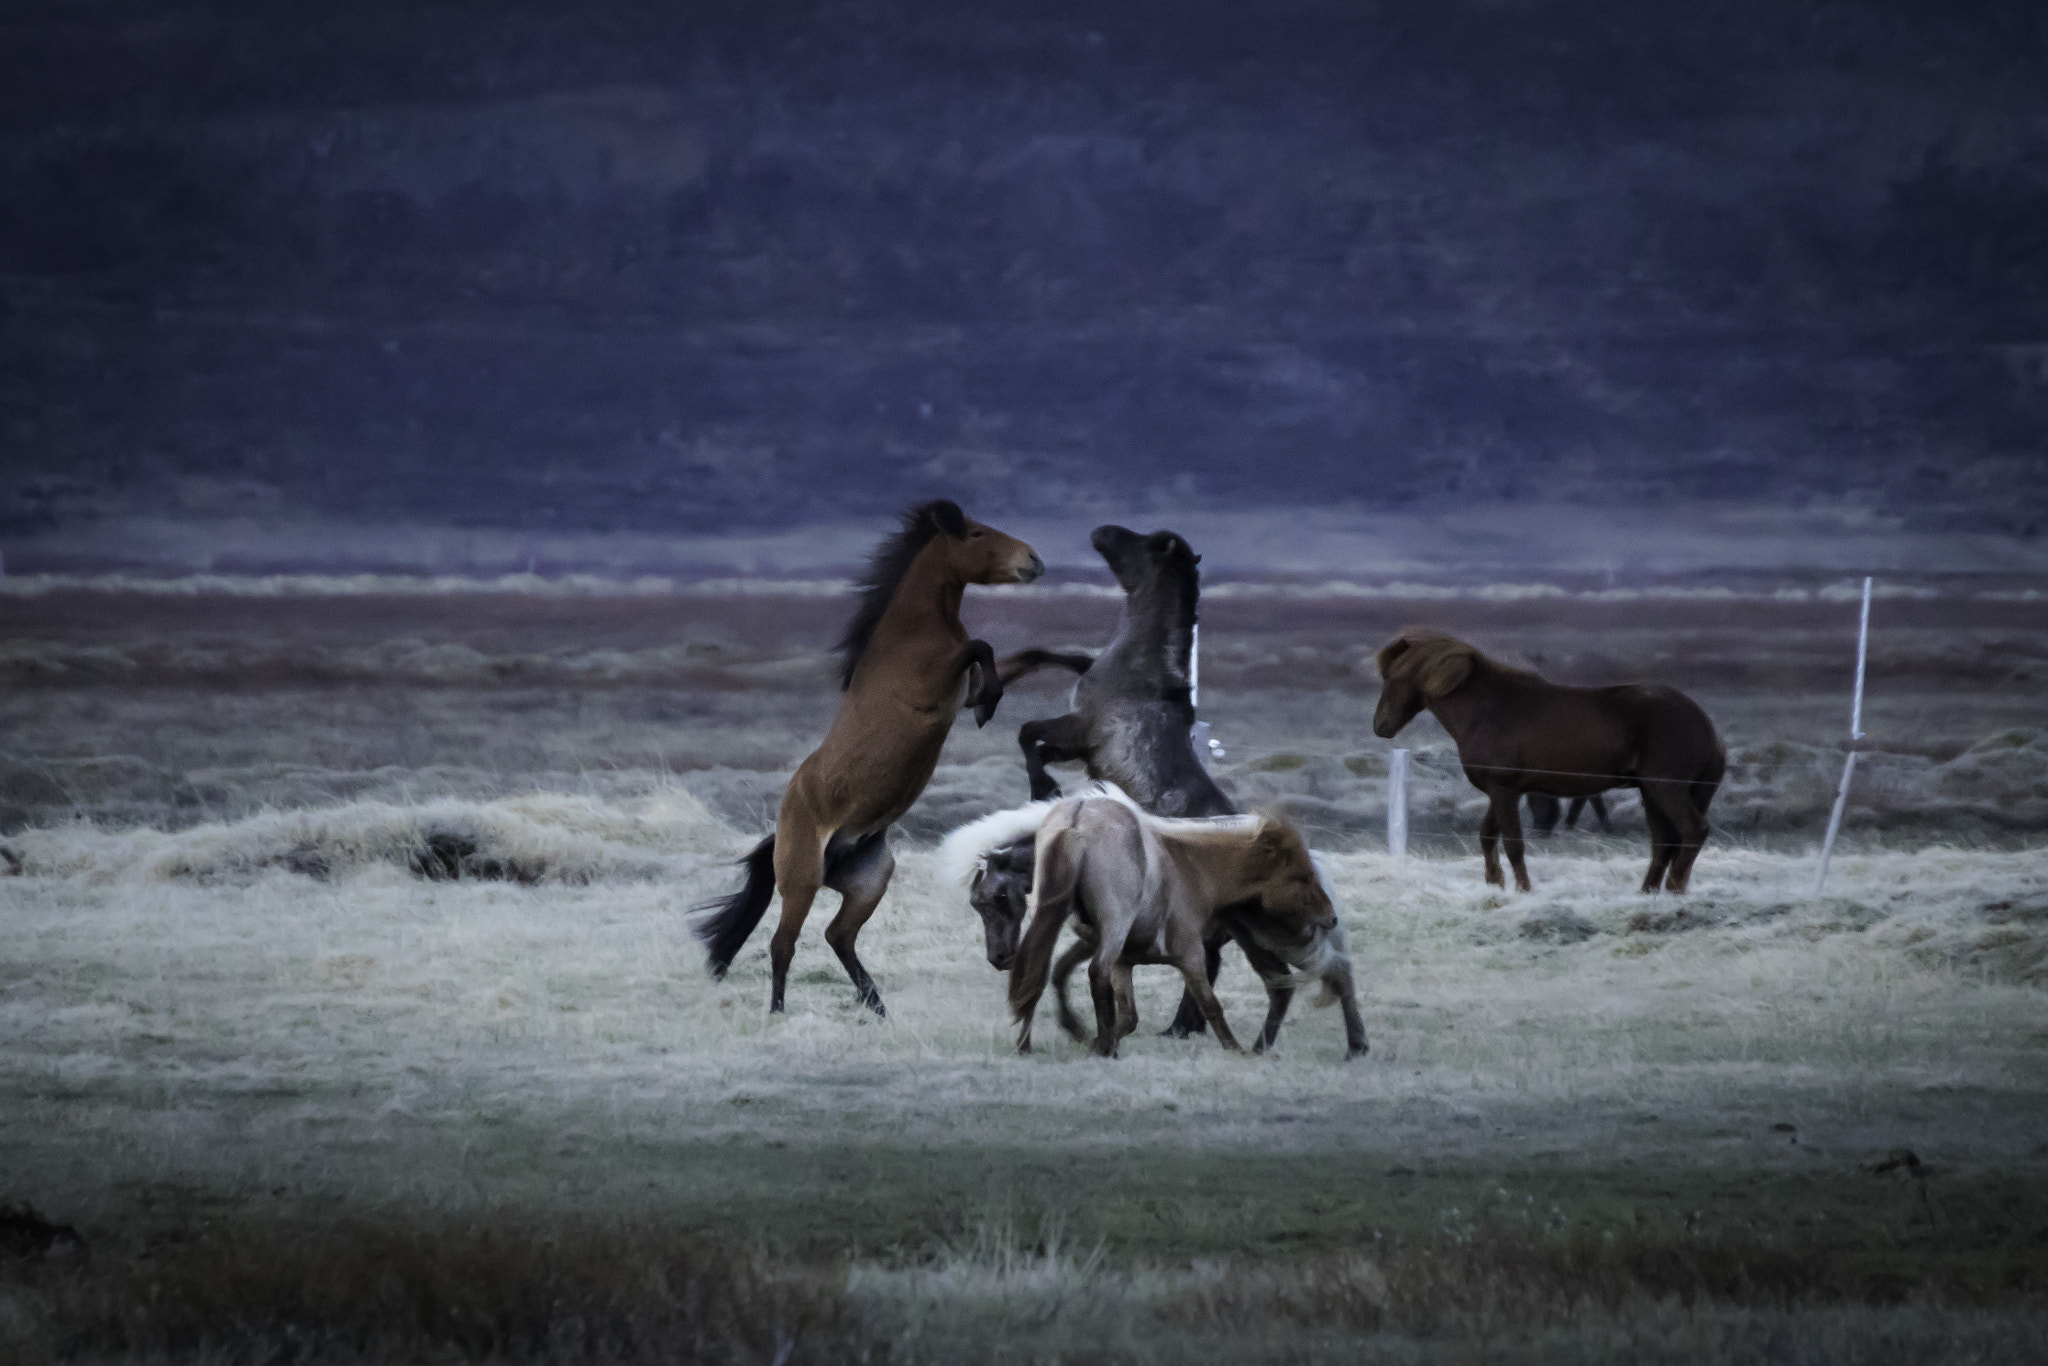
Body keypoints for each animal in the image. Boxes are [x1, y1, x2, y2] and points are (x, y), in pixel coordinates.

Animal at [692, 500, 1042, 1016]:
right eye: (977, 534)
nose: (1033, 561)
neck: (912, 631)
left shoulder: (960, 687)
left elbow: (1030, 655)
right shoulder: (934, 684)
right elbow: (983, 646)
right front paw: (990, 706)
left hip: (869, 881)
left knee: (838, 936)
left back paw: (876, 1007)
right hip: (802, 881)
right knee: (783, 943)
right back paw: (779, 1013)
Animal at [974, 784, 1368, 1059]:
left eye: (997, 898)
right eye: (979, 903)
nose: (997, 958)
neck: (1191, 867)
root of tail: (1077, 821)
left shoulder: (1157, 953)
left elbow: (1184, 1005)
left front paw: (1094, 1039)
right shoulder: (1139, 954)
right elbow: (1149, 1009)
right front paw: (1093, 1039)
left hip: (1281, 940)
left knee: (1335, 973)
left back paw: (1353, 1046)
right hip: (1265, 940)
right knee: (1288, 985)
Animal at [975, 524, 1236, 1037]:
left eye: (1144, 541)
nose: (1102, 531)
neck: (1139, 667)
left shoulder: (1080, 729)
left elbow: (1027, 732)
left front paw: (1044, 789)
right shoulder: (1078, 744)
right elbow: (1038, 734)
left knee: (1204, 961)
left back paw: (1180, 1026)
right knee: (1207, 961)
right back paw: (1179, 1027)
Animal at [1372, 630, 1725, 894]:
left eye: (1396, 677)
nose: (1380, 726)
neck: (1486, 710)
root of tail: (1706, 727)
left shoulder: (1503, 789)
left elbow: (1513, 843)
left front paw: (1523, 889)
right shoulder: (1502, 791)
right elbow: (1488, 837)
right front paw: (1495, 884)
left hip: (1666, 789)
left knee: (1693, 830)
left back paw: (1675, 888)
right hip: (1651, 793)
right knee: (1664, 841)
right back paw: (1647, 893)